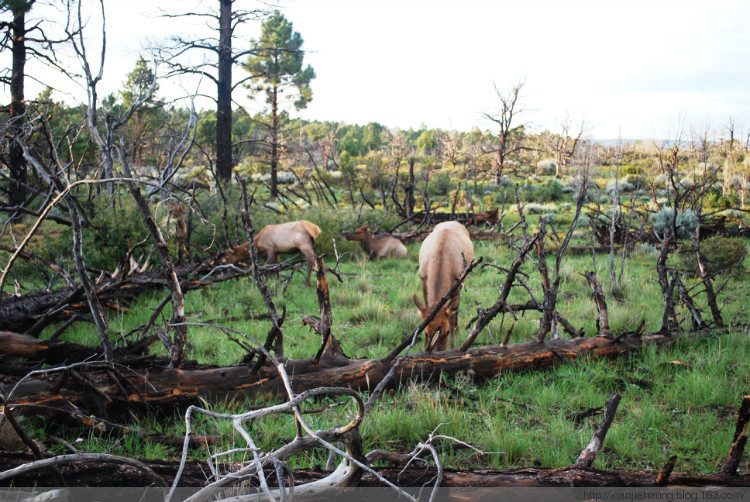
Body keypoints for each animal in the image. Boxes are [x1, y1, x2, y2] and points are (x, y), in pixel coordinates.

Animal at [414, 222, 472, 352]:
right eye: (426, 333)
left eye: (447, 332)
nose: (438, 352)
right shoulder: (423, 280)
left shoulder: (457, 283)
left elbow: (452, 318)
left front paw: (452, 347)